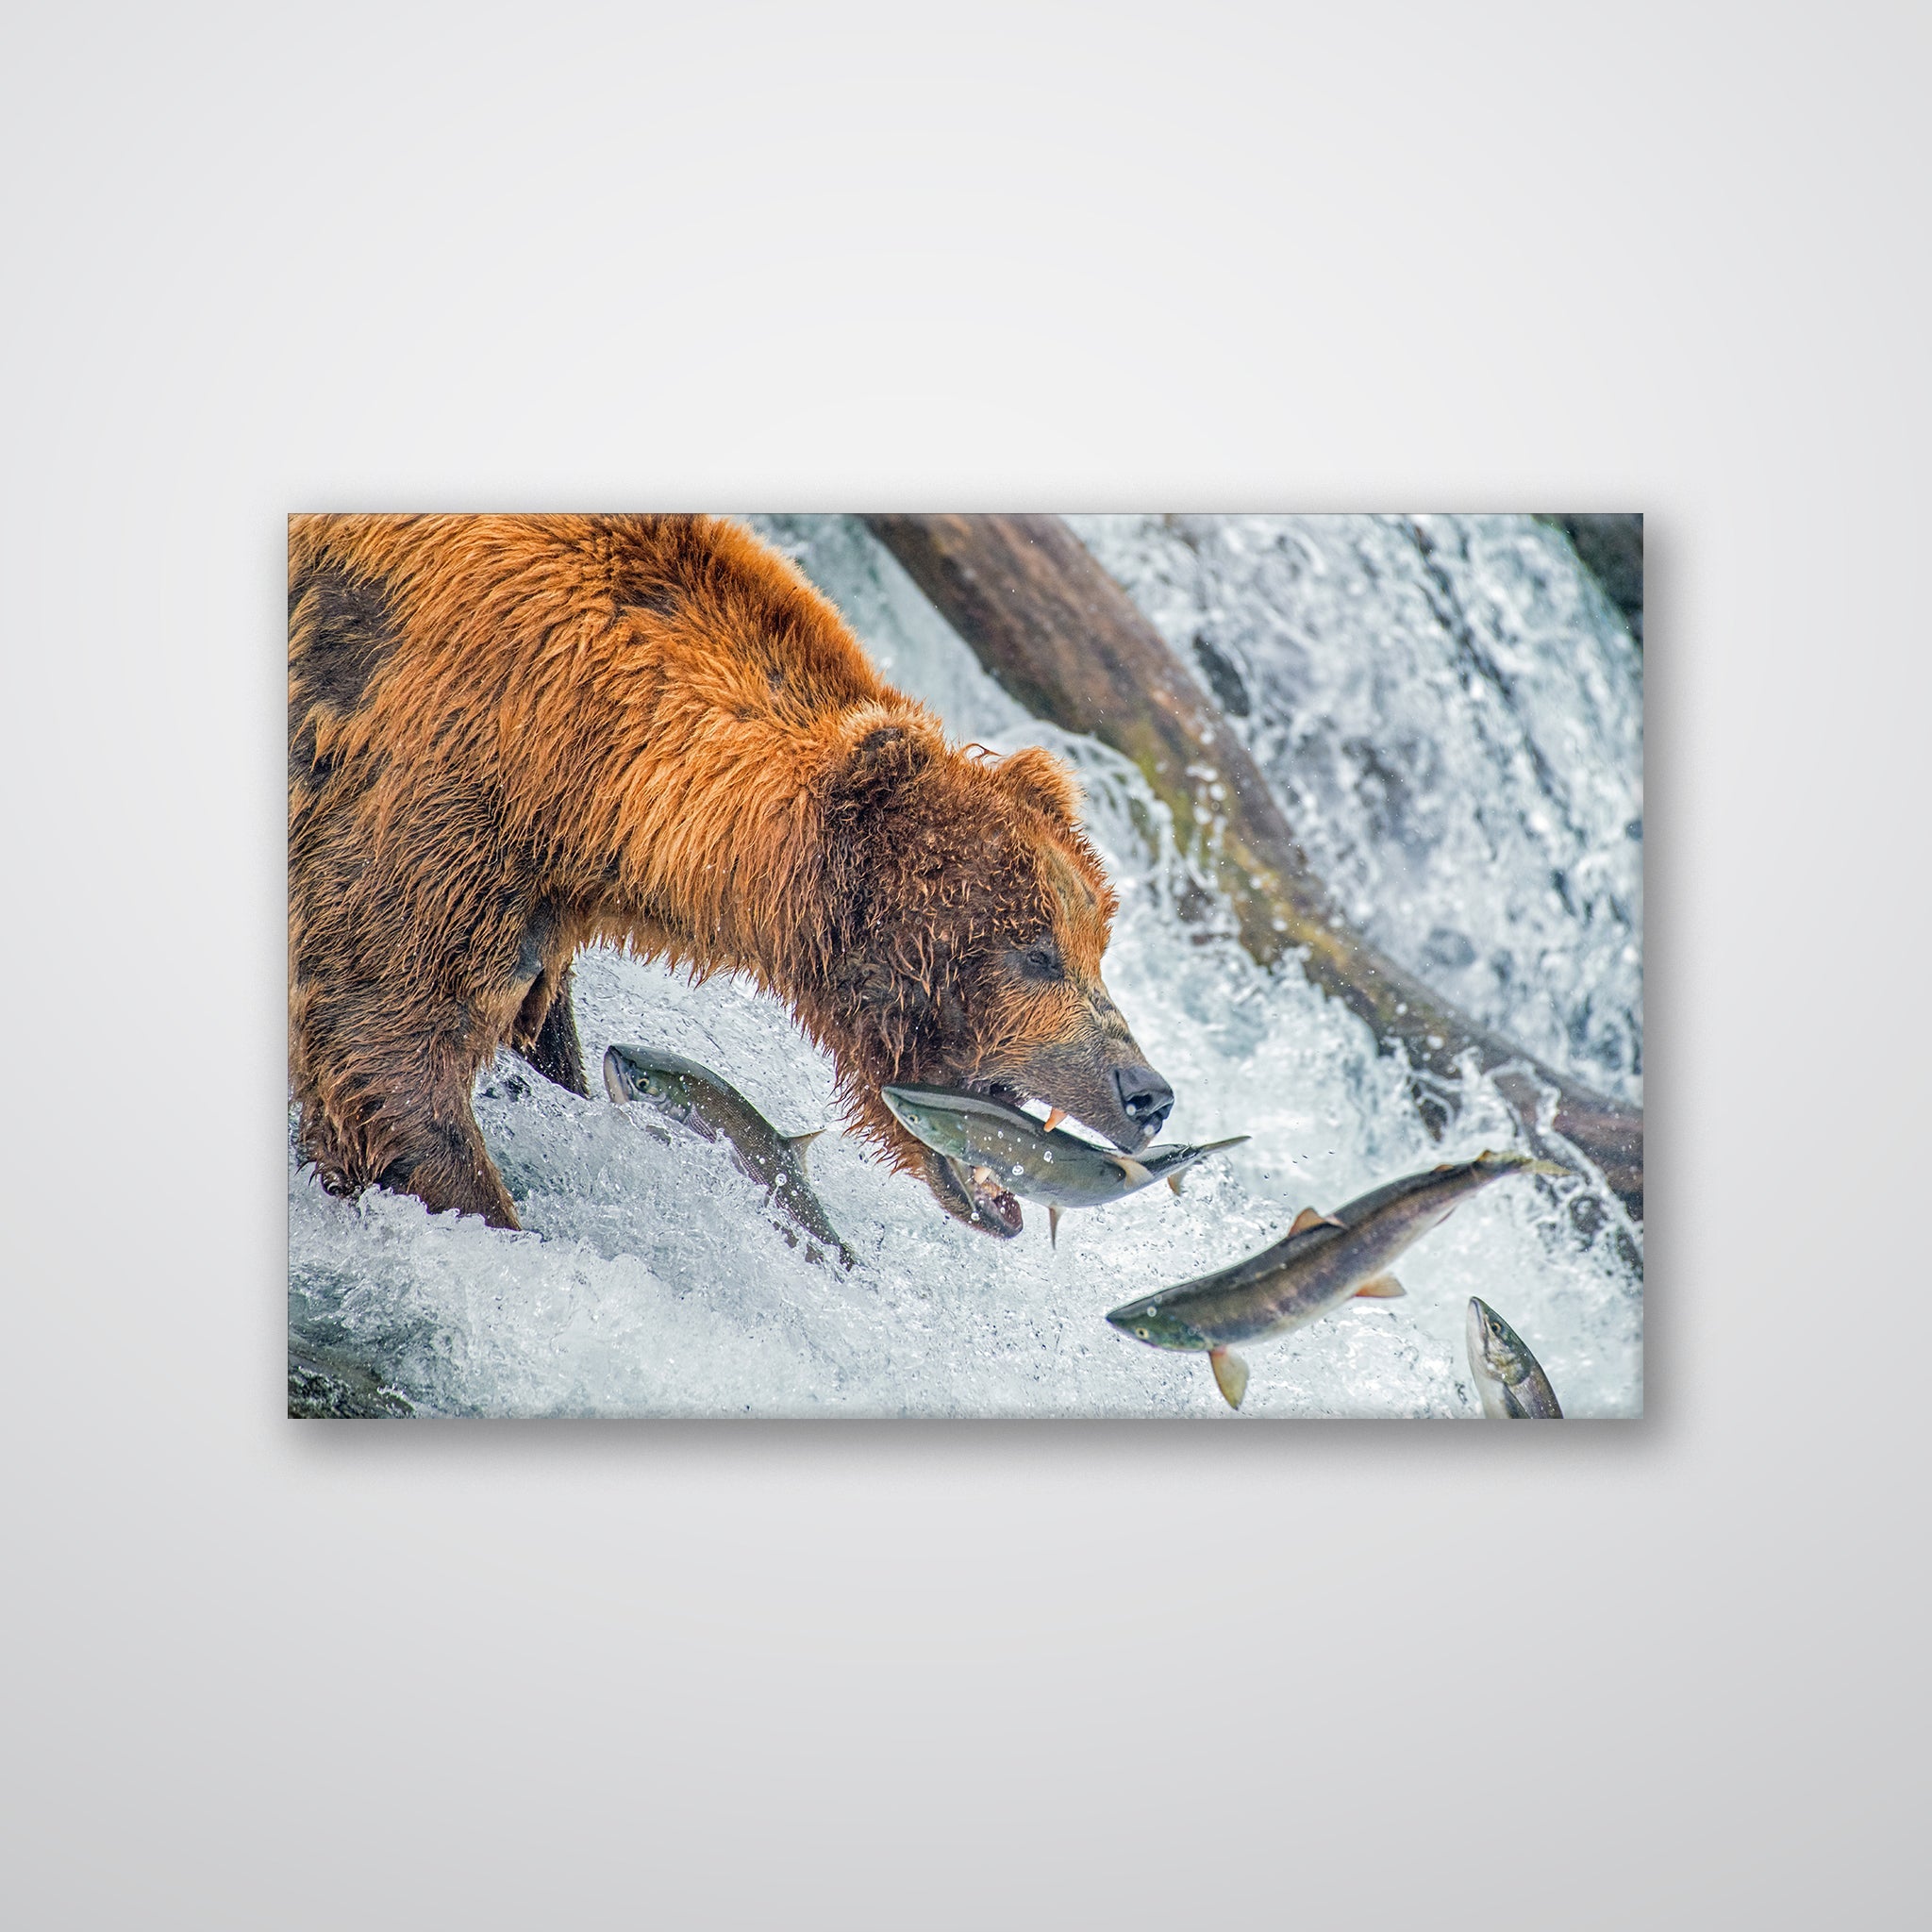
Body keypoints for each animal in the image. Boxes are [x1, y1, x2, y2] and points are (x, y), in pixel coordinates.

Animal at [288, 514, 1174, 1238]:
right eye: (1036, 952)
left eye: (1096, 943)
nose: (1148, 1091)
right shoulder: (435, 783)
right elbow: (382, 1041)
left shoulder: (537, 894)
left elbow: (529, 1034)